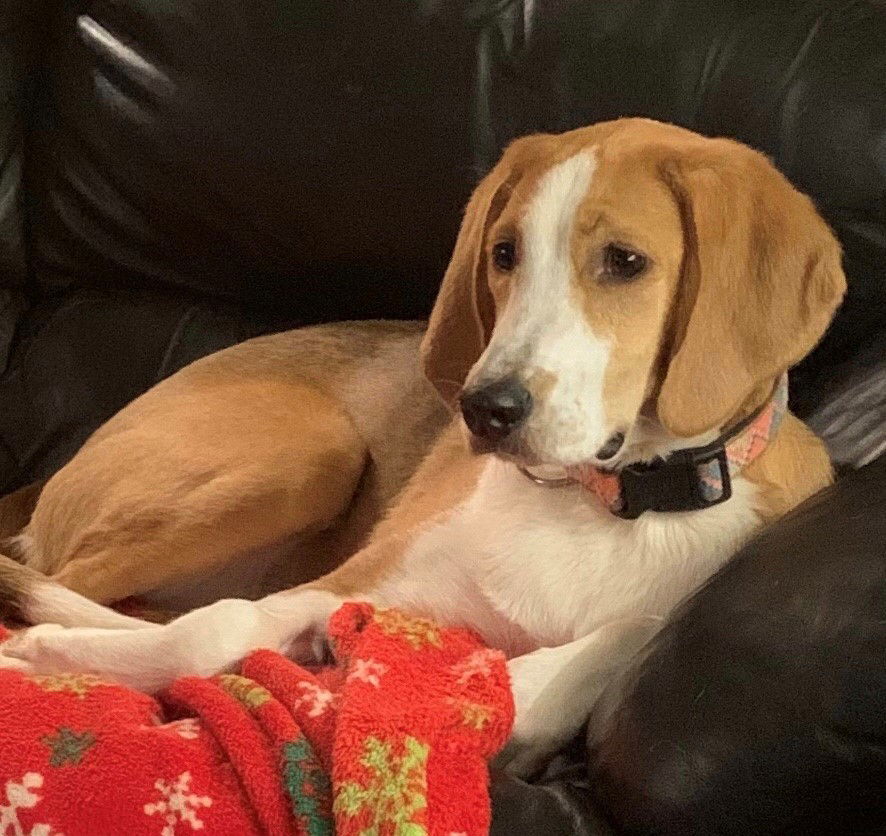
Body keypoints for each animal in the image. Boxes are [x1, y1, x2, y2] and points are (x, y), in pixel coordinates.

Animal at [0, 119, 848, 776]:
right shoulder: (350, 584)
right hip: (311, 457)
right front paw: (48, 656)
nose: (486, 409)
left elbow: (571, 665)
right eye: (504, 253)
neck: (596, 503)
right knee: (65, 581)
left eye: (626, 261)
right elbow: (220, 627)